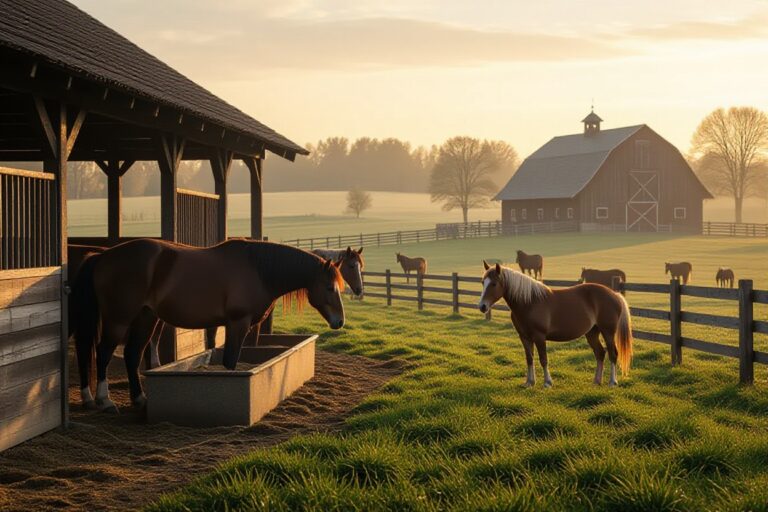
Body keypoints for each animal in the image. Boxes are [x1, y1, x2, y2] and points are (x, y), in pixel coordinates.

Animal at [72, 238, 345, 412]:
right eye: (330, 287)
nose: (339, 321)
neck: (257, 270)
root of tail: (103, 256)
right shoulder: (238, 323)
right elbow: (230, 361)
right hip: (119, 319)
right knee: (103, 353)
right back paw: (104, 400)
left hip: (145, 317)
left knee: (131, 354)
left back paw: (138, 399)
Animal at [479, 261, 633, 387]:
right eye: (482, 282)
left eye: (494, 284)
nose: (482, 306)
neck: (529, 302)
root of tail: (615, 294)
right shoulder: (524, 337)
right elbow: (529, 358)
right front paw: (529, 382)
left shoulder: (539, 337)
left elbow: (543, 359)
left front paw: (547, 382)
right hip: (592, 332)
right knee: (600, 353)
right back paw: (596, 381)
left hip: (608, 332)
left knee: (613, 354)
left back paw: (612, 382)